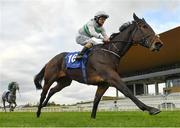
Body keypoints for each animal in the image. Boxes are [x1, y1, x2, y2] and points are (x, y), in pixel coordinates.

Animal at [33, 13, 163, 118]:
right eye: (144, 27)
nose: (159, 44)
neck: (108, 53)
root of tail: (50, 61)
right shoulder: (112, 78)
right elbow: (128, 92)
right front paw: (151, 109)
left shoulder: (103, 84)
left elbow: (96, 100)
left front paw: (92, 118)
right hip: (50, 78)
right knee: (43, 93)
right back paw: (38, 112)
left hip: (64, 82)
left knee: (52, 91)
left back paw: (44, 105)